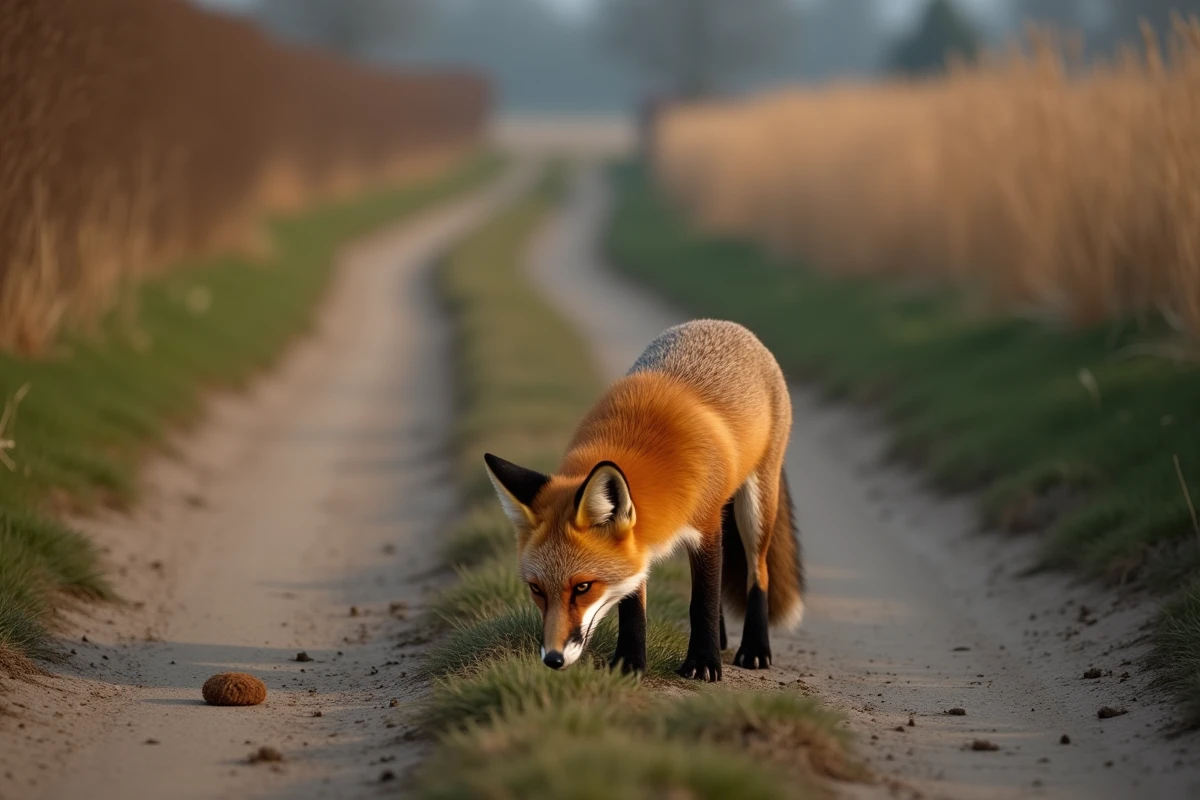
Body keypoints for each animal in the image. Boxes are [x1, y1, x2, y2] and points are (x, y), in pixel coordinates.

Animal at [483, 319, 803, 681]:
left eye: (583, 587)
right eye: (536, 589)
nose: (553, 659)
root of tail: (725, 324)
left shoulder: (705, 526)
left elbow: (702, 601)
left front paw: (703, 663)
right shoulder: (638, 544)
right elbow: (633, 607)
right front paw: (629, 664)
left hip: (755, 509)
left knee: (758, 573)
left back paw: (754, 649)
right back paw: (722, 639)